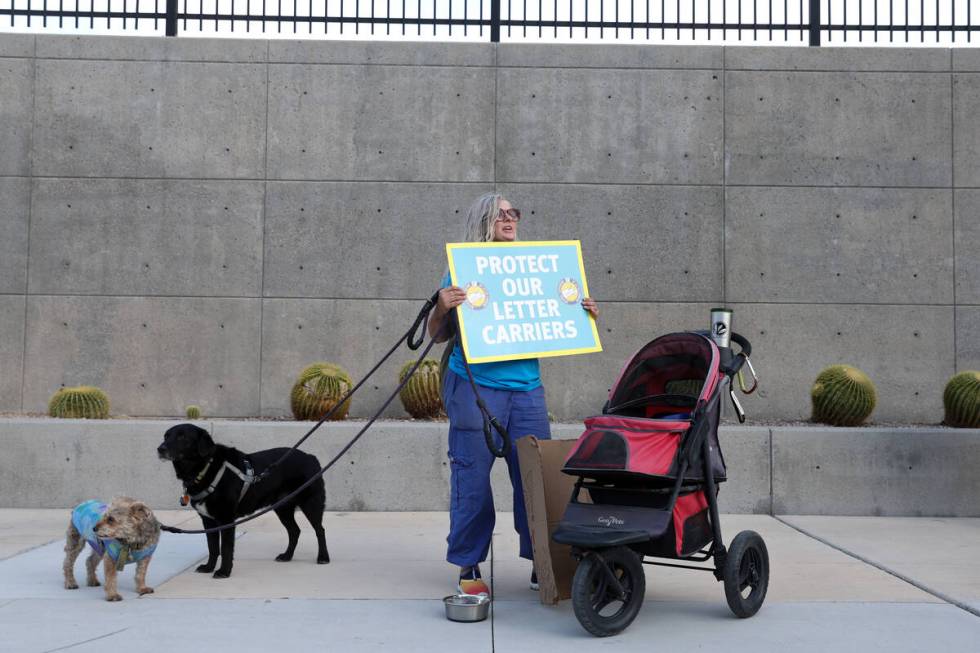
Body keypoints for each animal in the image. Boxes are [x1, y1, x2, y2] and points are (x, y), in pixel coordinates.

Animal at [157, 422, 332, 576]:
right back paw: (287, 556)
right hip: (282, 508)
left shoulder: (226, 519)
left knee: (320, 530)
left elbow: (226, 548)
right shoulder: (208, 521)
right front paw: (208, 568)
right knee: (295, 531)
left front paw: (224, 572)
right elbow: (212, 548)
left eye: (182, 437)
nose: (160, 448)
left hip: (311, 504)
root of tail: (311, 457)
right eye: (166, 436)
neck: (205, 468)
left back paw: (323, 557)